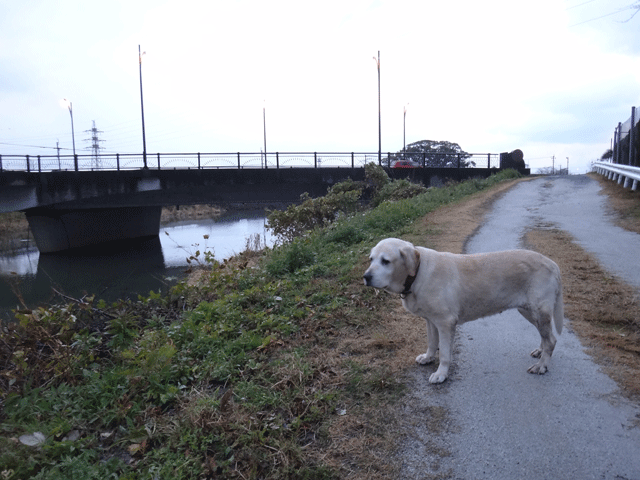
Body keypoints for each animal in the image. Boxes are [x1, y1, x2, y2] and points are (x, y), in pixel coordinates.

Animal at [362, 238, 564, 384]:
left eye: (386, 261)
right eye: (371, 259)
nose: (366, 277)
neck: (417, 274)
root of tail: (552, 263)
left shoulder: (445, 322)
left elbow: (444, 352)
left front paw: (441, 374)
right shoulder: (431, 320)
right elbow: (431, 342)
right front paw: (428, 358)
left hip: (539, 311)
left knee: (551, 340)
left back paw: (541, 366)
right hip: (529, 311)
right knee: (546, 336)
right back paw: (540, 351)